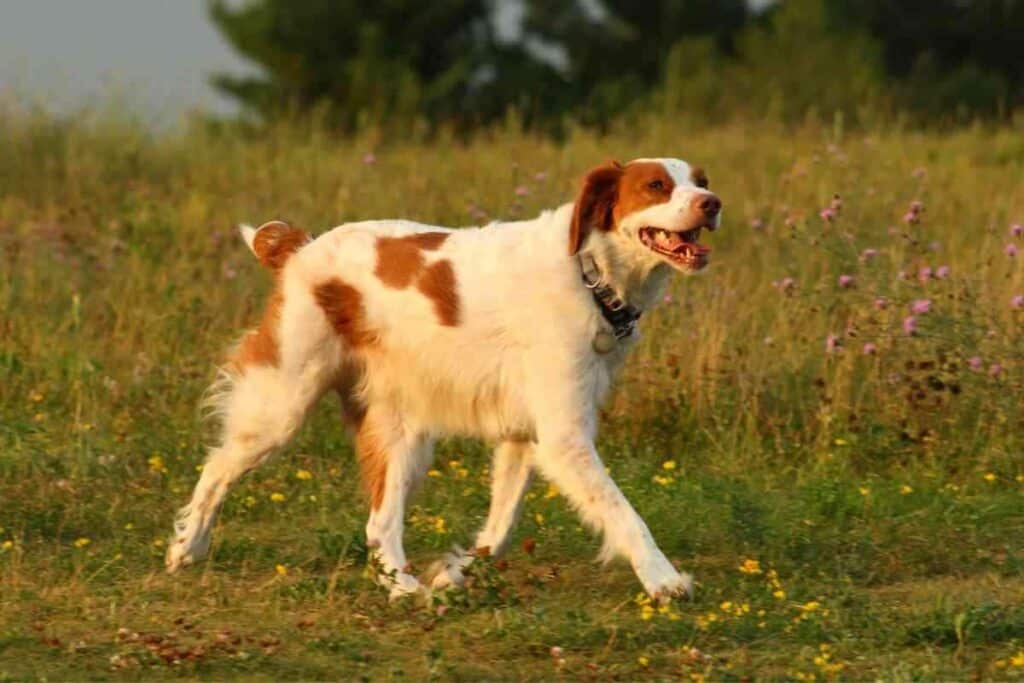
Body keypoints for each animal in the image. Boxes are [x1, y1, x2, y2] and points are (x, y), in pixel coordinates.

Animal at [165, 157, 720, 602]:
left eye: (701, 181)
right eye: (656, 186)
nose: (712, 204)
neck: (588, 271)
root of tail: (302, 248)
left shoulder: (525, 435)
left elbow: (499, 528)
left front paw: (453, 572)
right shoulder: (564, 437)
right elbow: (624, 513)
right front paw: (664, 580)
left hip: (401, 432)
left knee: (379, 524)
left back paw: (406, 590)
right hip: (284, 401)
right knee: (218, 466)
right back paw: (187, 547)